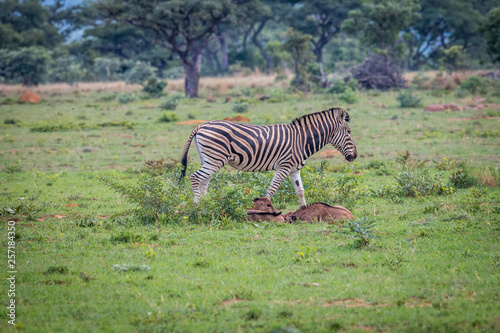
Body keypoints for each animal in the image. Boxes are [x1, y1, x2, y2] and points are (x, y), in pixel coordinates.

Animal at [179, 107, 356, 206]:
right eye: (348, 131)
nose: (354, 156)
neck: (302, 140)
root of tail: (201, 125)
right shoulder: (284, 166)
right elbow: (272, 189)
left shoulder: (294, 169)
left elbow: (300, 191)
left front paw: (304, 211)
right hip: (215, 159)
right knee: (195, 177)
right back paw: (197, 205)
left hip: (208, 159)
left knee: (204, 181)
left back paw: (205, 205)